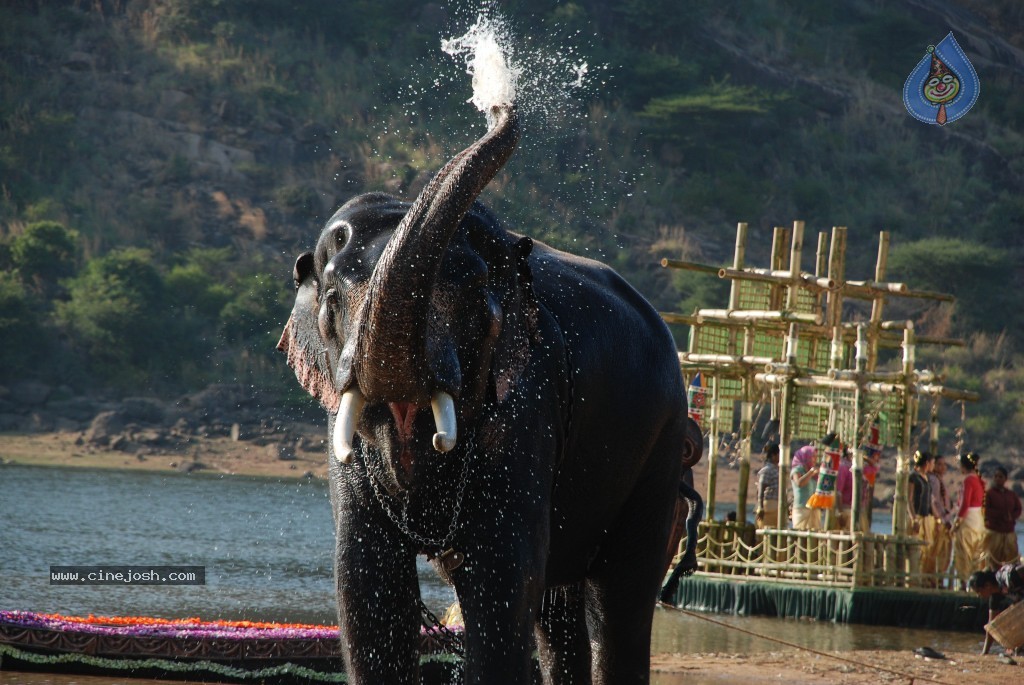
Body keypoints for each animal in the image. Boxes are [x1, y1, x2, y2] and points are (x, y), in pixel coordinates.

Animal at [276, 102, 700, 683]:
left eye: (473, 293)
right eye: (334, 298)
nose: (500, 104)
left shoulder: (527, 405)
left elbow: (502, 576)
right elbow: (366, 580)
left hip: (660, 446)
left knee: (619, 604)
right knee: (558, 617)